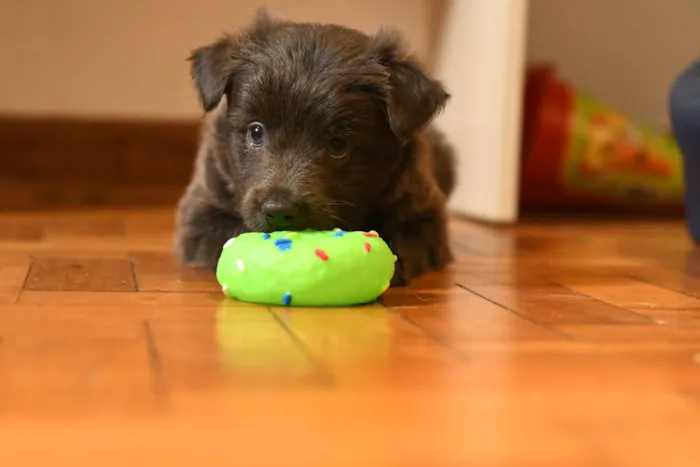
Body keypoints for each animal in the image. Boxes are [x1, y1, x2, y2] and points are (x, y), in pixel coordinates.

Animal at [174, 11, 456, 288]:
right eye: (255, 132)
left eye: (338, 145)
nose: (280, 210)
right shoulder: (202, 208)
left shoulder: (424, 210)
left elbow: (408, 234)